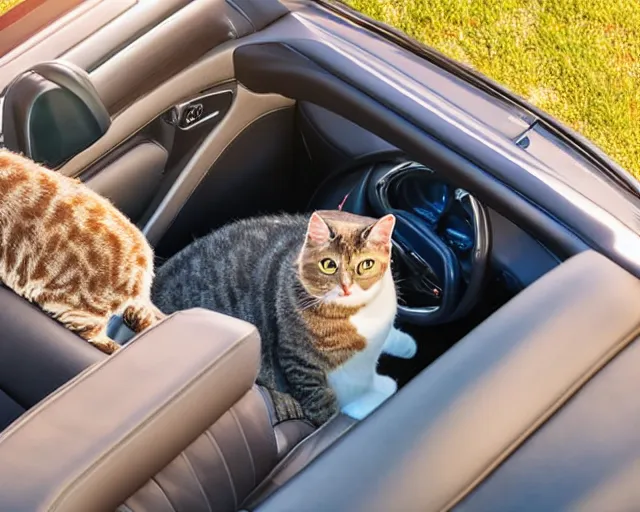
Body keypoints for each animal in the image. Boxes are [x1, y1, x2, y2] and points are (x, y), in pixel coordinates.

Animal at [152, 210, 418, 426]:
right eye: (328, 265)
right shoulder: (300, 361)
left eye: (366, 265)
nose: (346, 287)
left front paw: (406, 346)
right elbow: (327, 400)